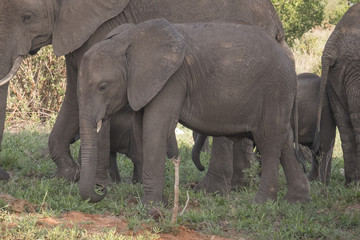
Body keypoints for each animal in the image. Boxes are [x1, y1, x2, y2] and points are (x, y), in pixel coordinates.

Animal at [0, 0, 292, 182]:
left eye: (28, 17)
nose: (4, 176)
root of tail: (277, 24)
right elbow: (75, 94)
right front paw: (68, 175)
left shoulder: (104, 26)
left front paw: (91, 181)